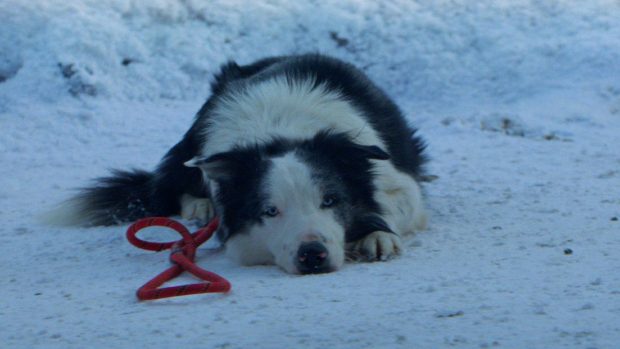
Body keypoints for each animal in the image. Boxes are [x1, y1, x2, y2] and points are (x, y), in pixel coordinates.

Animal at [58, 54, 426, 274]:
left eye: (330, 200)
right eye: (270, 211)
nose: (312, 255)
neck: (281, 132)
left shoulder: (398, 181)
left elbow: (392, 204)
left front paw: (377, 234)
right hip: (192, 142)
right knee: (174, 185)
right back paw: (201, 206)